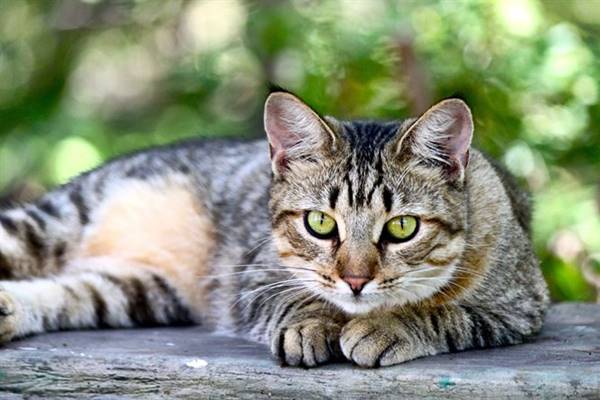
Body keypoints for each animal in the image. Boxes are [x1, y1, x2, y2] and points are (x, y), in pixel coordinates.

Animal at [0, 90, 548, 366]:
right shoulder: (256, 273)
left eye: (402, 228)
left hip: (139, 288)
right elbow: (295, 298)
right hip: (55, 220)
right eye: (320, 223)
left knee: (71, 290)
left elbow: (447, 313)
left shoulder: (520, 306)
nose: (355, 280)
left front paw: (386, 326)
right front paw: (311, 324)